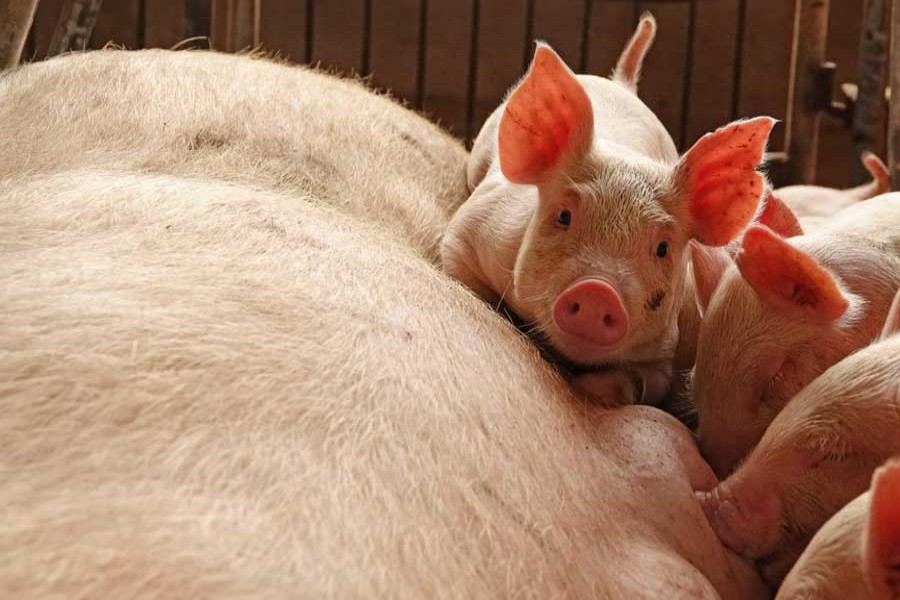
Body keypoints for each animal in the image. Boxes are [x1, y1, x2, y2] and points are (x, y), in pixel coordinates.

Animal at [441, 12, 775, 405]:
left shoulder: (663, 349)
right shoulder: (473, 229)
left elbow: (647, 380)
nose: (597, 291)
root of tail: (622, 84)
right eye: (564, 216)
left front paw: (599, 391)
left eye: (663, 248)